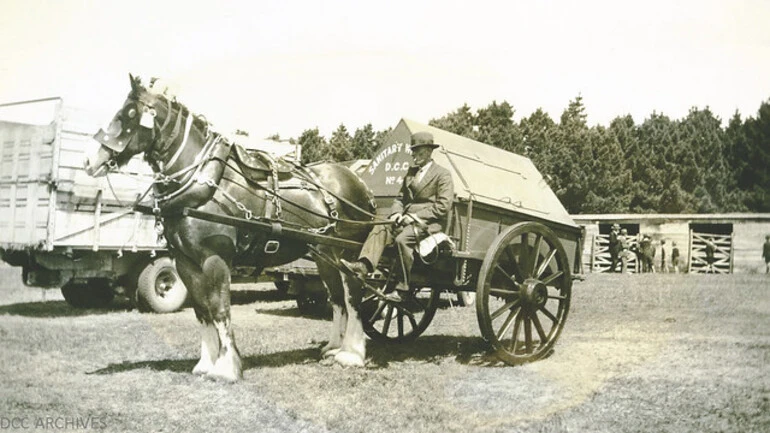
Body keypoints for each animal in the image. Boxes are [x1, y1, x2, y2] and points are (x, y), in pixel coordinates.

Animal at [86, 76, 376, 380]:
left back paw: (352, 352)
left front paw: (226, 367)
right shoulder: (185, 261)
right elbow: (202, 310)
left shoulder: (216, 258)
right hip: (325, 254)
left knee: (353, 294)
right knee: (337, 297)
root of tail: (359, 181)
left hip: (348, 253)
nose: (89, 161)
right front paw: (205, 364)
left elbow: (220, 308)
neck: (203, 179)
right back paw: (333, 347)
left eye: (128, 115)